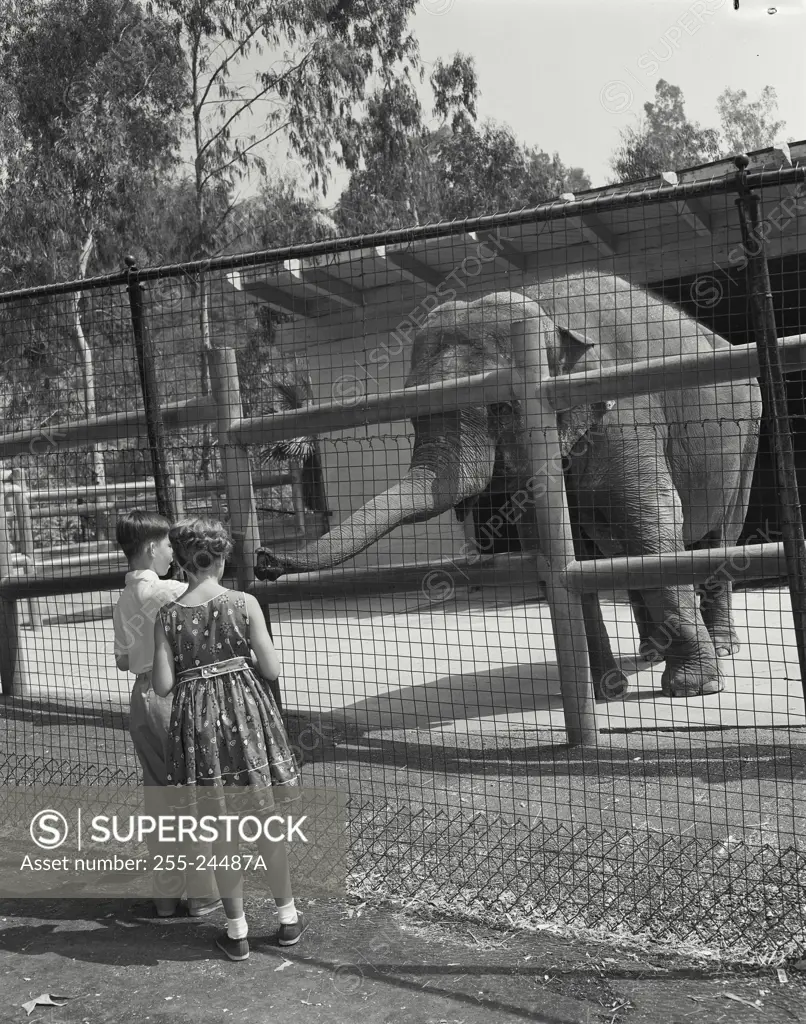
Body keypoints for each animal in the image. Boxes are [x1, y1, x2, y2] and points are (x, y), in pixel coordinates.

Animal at [255, 272, 757, 700]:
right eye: (412, 415)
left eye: (500, 407)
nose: (262, 560)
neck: (544, 311)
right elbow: (559, 545)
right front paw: (606, 692)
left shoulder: (626, 408)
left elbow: (645, 520)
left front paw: (694, 688)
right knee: (621, 553)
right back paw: (649, 654)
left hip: (750, 434)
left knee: (719, 533)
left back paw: (722, 648)